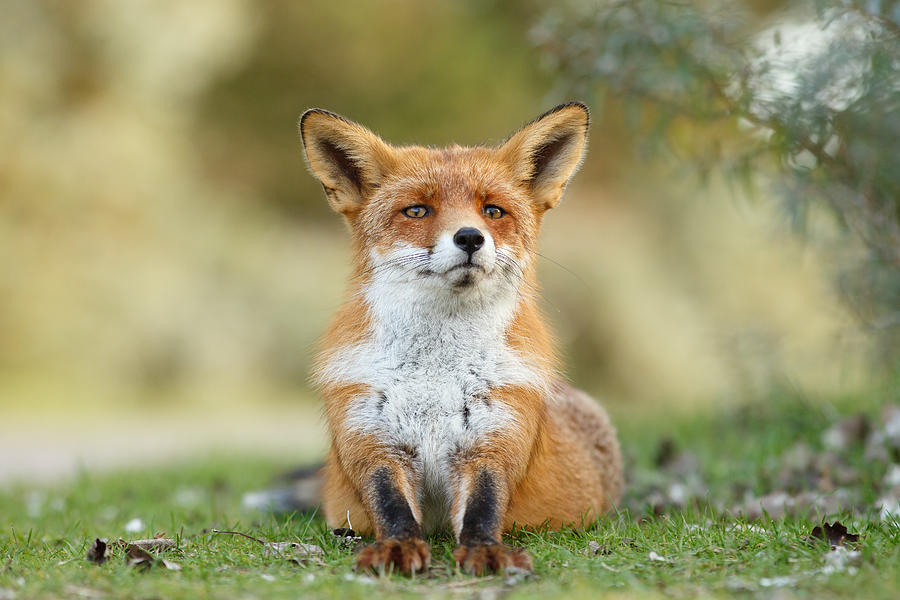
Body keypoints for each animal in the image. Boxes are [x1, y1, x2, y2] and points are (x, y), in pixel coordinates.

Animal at [298, 103, 624, 576]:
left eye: (493, 211)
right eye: (417, 211)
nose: (470, 237)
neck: (435, 372)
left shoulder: (496, 438)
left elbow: (483, 505)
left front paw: (485, 550)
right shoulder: (371, 440)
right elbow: (390, 504)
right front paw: (397, 547)